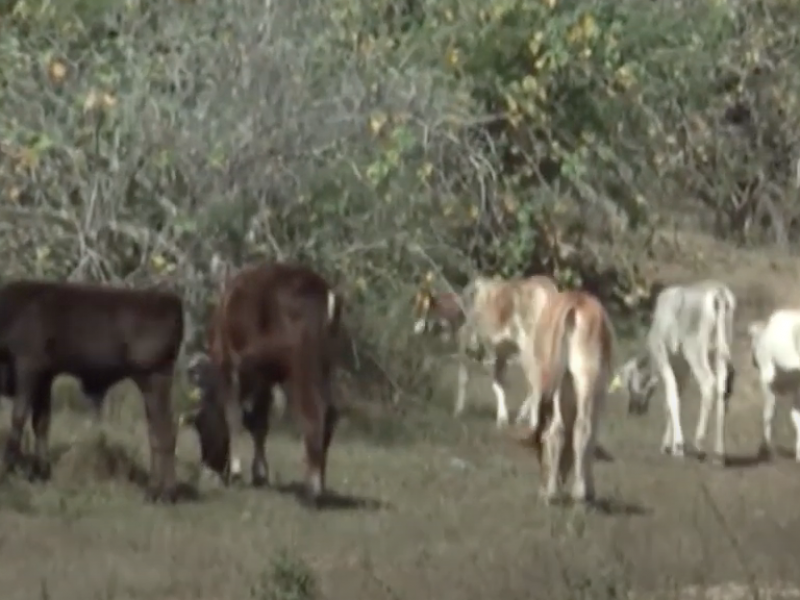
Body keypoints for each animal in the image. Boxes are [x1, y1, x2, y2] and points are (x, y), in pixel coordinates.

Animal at [180, 262, 342, 506]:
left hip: (301, 369)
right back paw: (320, 485)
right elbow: (259, 423)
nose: (208, 469)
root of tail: (320, 289)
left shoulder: (232, 367)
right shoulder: (265, 378)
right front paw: (260, 474)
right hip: (323, 367)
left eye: (200, 425)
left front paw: (237, 471)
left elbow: (235, 416)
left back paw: (311, 491)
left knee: (313, 414)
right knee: (329, 414)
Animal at [412, 276, 556, 426]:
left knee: (537, 382)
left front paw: (458, 411)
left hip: (528, 349)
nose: (417, 328)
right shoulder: (499, 353)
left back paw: (533, 423)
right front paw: (503, 417)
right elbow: (497, 382)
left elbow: (467, 378)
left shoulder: (471, 345)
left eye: (426, 311)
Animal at [516, 288, 616, 504]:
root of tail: (575, 303)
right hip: (580, 380)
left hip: (559, 380)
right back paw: (574, 493)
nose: (541, 485)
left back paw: (554, 494)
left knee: (556, 430)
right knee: (577, 429)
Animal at [612, 282, 736, 464]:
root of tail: (718, 293)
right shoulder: (682, 366)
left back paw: (699, 443)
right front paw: (667, 444)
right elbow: (676, 398)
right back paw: (719, 453)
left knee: (708, 384)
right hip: (719, 352)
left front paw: (677, 446)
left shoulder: (662, 355)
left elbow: (671, 396)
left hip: (695, 350)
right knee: (722, 390)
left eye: (627, 383)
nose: (633, 410)